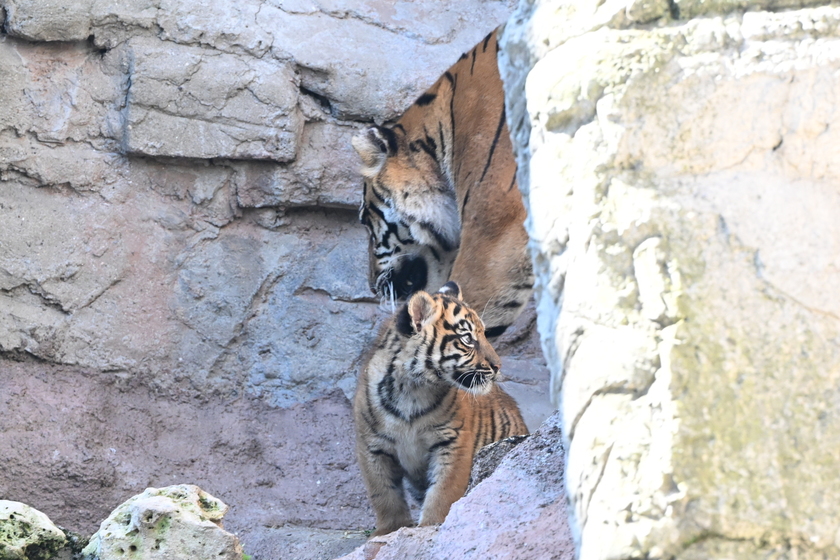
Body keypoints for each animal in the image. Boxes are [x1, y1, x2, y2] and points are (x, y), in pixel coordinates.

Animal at [352, 282, 524, 536]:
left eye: (484, 333)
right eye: (468, 338)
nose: (497, 365)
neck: (412, 387)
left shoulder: (453, 441)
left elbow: (444, 491)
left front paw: (430, 526)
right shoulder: (372, 446)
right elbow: (384, 493)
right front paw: (389, 530)